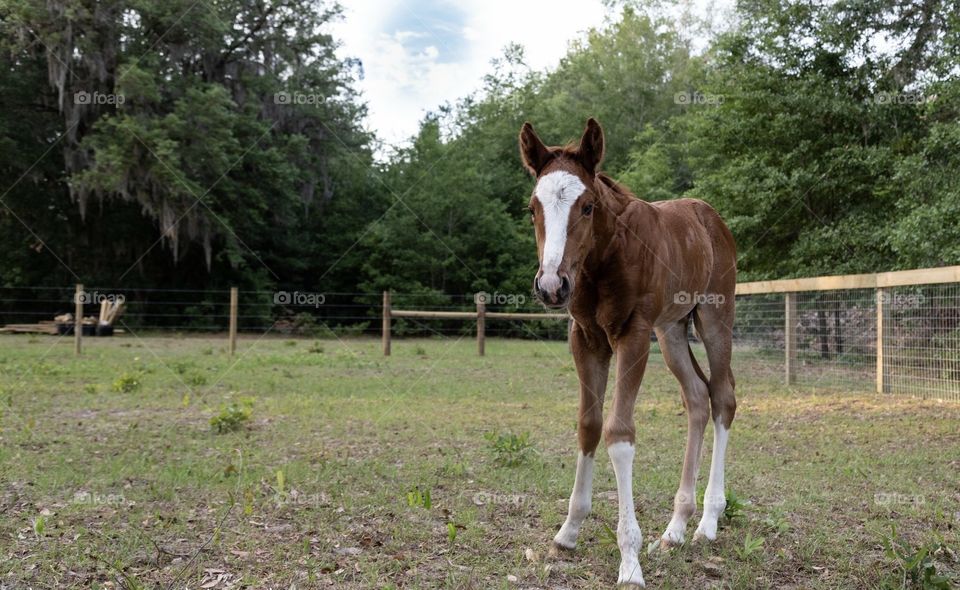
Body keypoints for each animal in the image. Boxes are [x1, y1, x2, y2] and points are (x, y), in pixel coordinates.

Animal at [520, 119, 740, 588]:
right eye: (533, 209)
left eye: (586, 207)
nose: (552, 286)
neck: (602, 260)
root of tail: (711, 216)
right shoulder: (585, 338)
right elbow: (588, 425)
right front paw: (568, 532)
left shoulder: (633, 335)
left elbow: (619, 434)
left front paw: (629, 560)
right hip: (671, 330)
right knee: (697, 397)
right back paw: (675, 529)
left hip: (714, 316)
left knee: (723, 398)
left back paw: (707, 522)